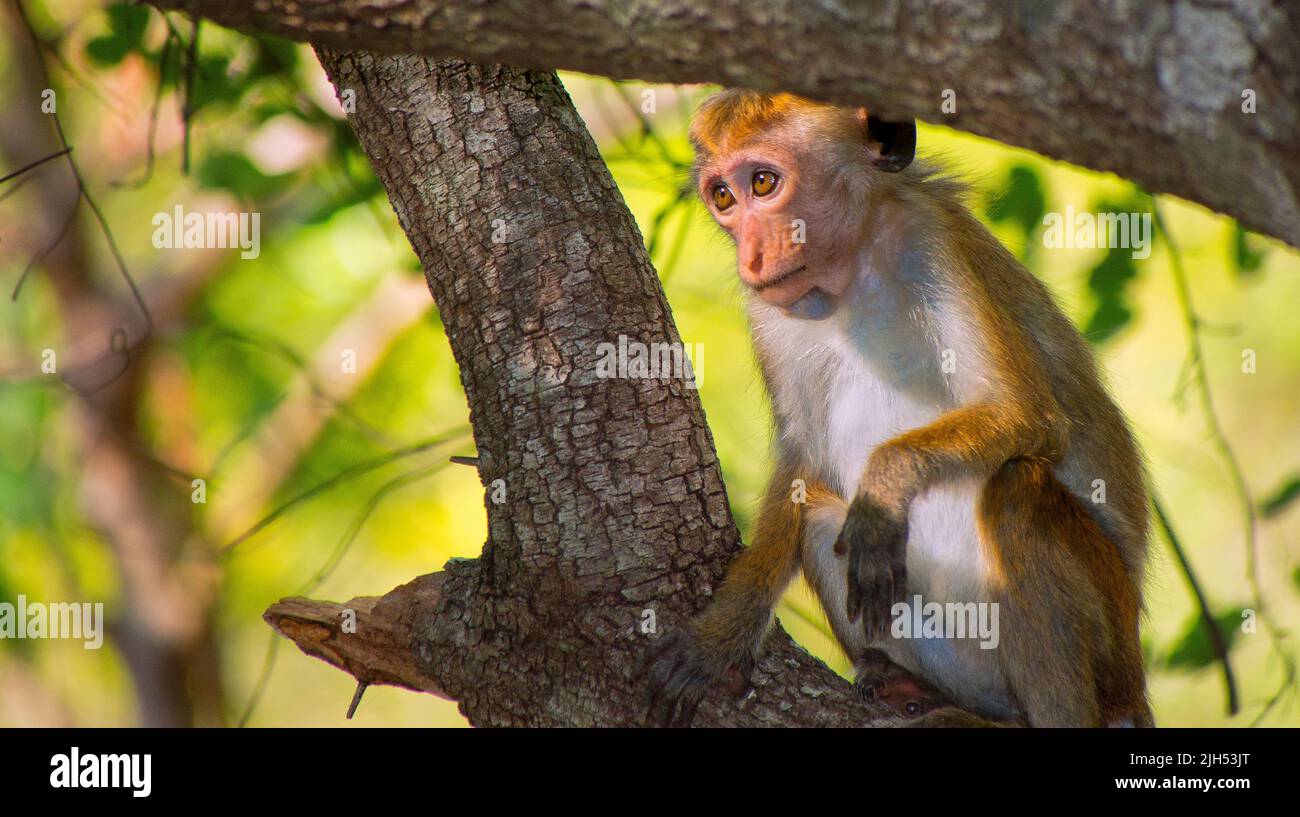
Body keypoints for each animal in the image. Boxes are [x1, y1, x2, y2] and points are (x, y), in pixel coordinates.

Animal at [644, 90, 1153, 728]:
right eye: (722, 198)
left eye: (763, 182)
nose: (752, 258)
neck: (854, 268)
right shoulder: (770, 308)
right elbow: (803, 459)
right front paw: (719, 639)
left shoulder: (931, 238)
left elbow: (1026, 412)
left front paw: (885, 485)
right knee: (820, 519)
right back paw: (914, 689)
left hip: (1113, 650)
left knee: (1017, 495)